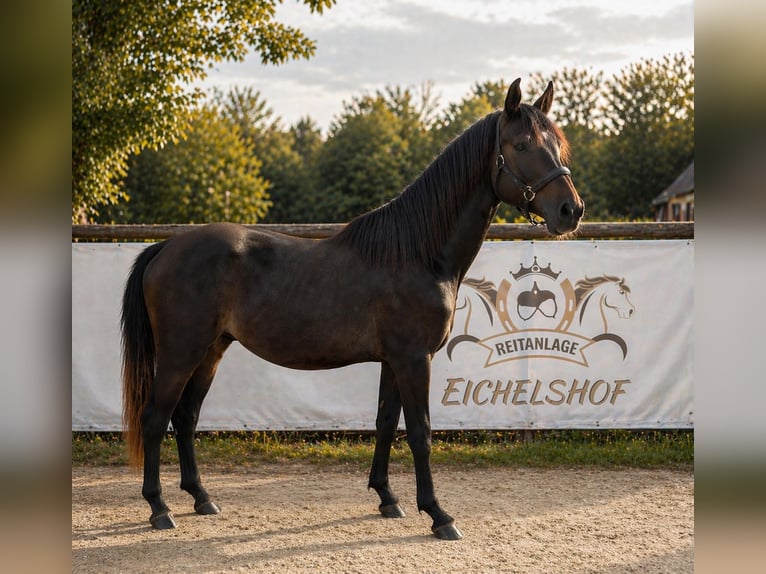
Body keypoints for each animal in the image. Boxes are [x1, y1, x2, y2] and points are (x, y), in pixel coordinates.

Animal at [121, 78, 584, 540]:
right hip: (181, 353)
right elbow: (420, 433)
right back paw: (159, 508)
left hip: (212, 350)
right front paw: (438, 514)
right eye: (521, 144)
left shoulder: (393, 361)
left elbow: (385, 423)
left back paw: (201, 498)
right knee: (154, 418)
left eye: (558, 144)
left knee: (185, 417)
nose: (571, 210)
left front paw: (387, 499)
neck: (417, 253)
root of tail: (166, 247)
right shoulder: (414, 359)